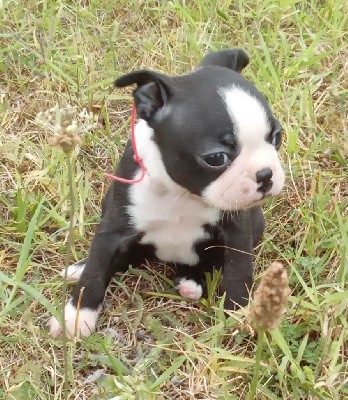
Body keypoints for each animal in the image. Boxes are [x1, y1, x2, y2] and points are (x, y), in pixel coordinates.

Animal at [51, 49, 286, 338]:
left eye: (277, 137)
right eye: (216, 158)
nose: (266, 174)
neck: (180, 193)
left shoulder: (236, 229)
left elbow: (238, 272)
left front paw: (240, 316)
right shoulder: (114, 228)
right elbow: (96, 270)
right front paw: (76, 317)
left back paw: (190, 282)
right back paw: (79, 268)